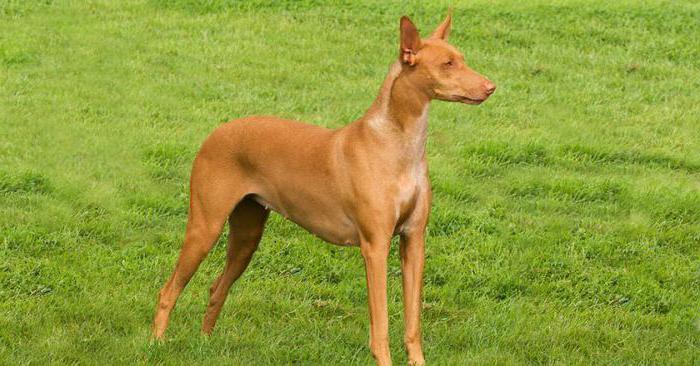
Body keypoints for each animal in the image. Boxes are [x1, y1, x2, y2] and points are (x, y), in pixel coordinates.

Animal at [150, 12, 494, 366]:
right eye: (447, 64)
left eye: (462, 59)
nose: (490, 87)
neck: (398, 144)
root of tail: (215, 132)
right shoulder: (376, 246)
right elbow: (381, 326)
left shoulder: (413, 242)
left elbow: (413, 325)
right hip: (205, 227)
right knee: (168, 289)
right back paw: (157, 344)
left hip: (247, 236)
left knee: (216, 287)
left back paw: (205, 342)